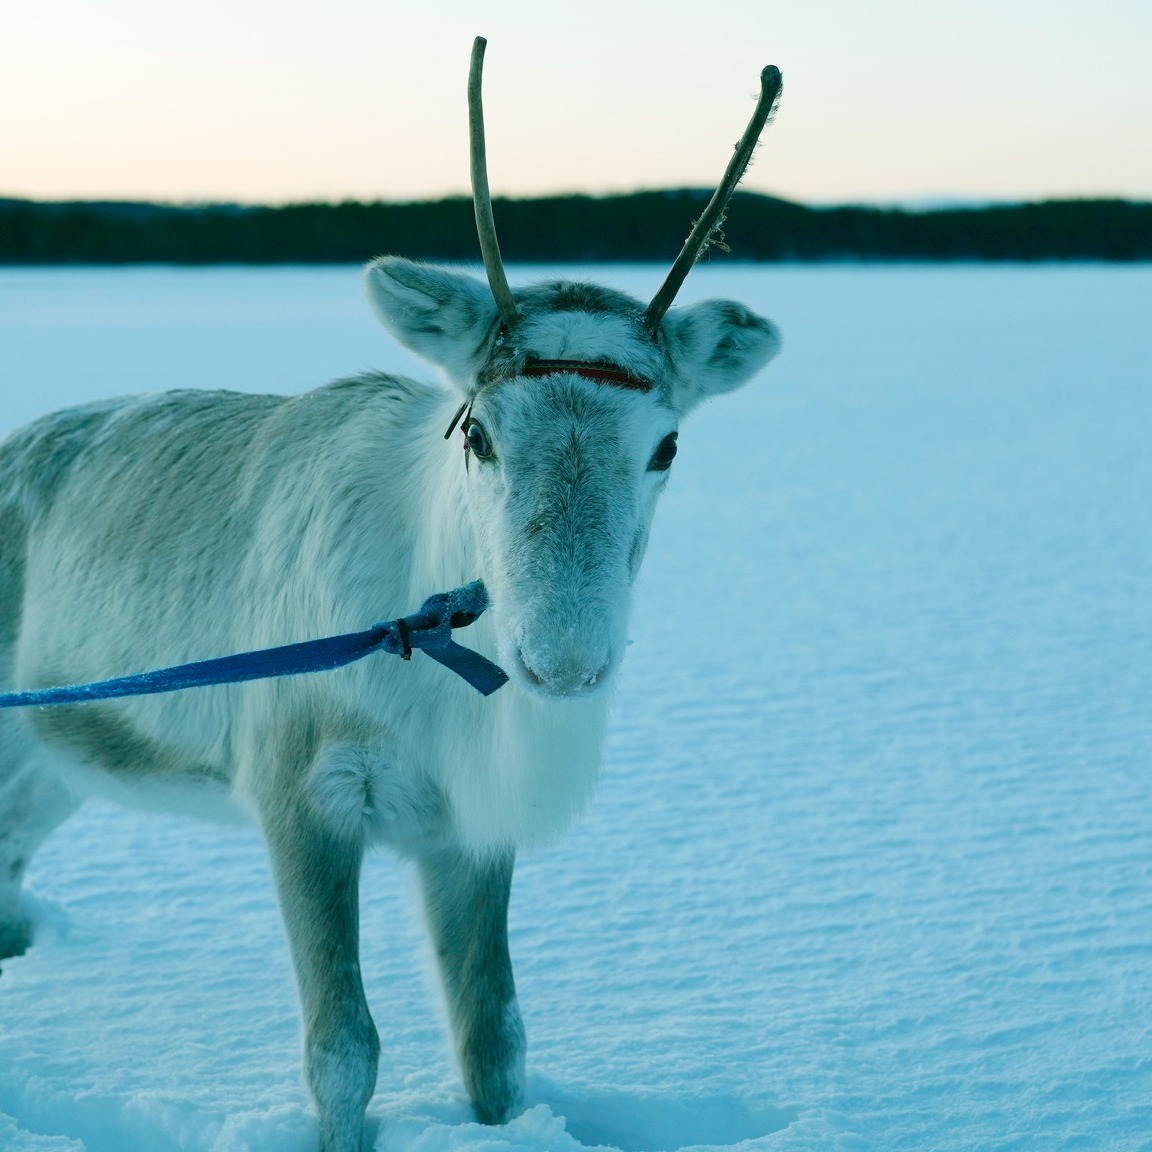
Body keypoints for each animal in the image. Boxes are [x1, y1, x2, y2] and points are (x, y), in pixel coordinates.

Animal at [0, 38, 782, 1152]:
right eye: (478, 430)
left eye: (667, 445)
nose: (564, 662)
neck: (429, 643)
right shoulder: (301, 794)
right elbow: (343, 1050)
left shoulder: (468, 826)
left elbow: (495, 1038)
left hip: (56, 754)